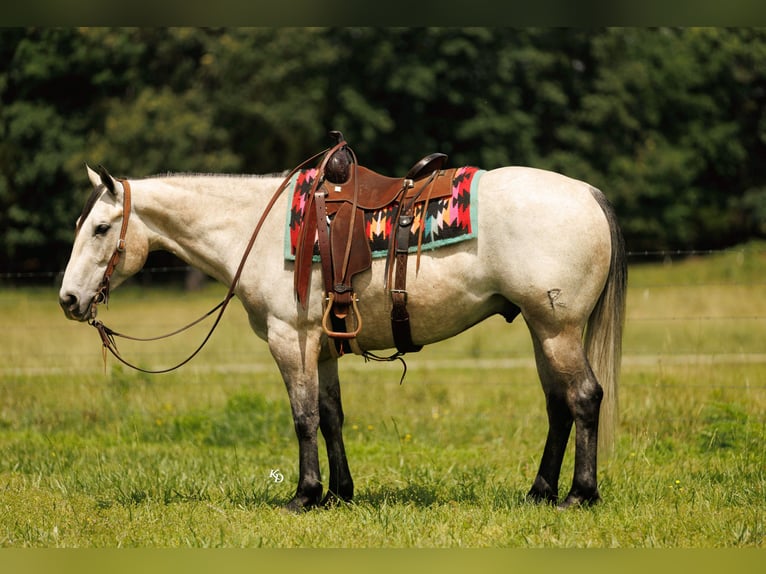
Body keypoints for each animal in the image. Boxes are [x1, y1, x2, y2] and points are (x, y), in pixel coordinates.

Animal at [59, 160, 626, 511]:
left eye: (101, 229)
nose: (68, 300)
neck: (255, 229)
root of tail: (589, 193)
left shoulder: (291, 340)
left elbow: (304, 418)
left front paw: (305, 495)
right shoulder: (324, 348)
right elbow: (331, 416)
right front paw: (339, 492)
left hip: (557, 328)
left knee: (583, 398)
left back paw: (579, 494)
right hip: (540, 328)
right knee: (558, 407)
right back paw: (539, 491)